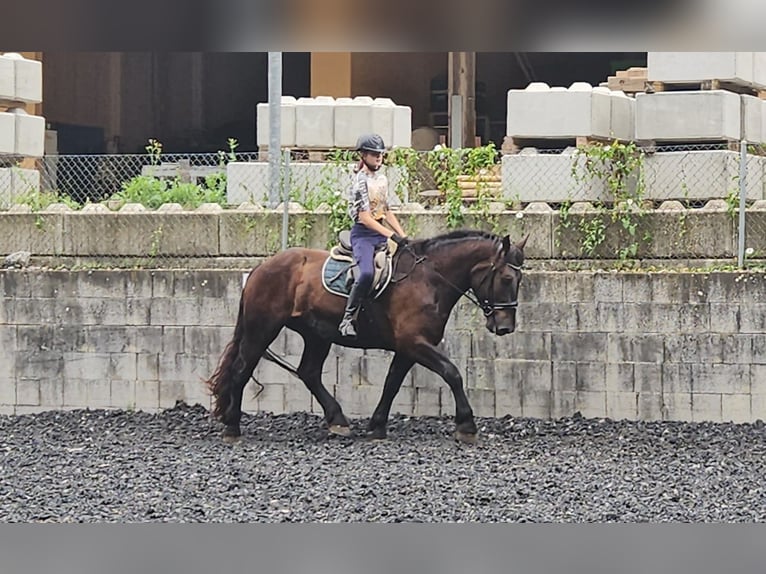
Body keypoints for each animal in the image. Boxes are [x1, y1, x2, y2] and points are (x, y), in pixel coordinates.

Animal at [204, 230, 528, 446]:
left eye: (520, 280)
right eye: (507, 279)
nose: (505, 327)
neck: (429, 279)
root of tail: (262, 266)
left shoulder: (408, 348)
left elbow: (392, 384)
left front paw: (376, 426)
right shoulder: (415, 343)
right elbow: (452, 373)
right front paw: (466, 424)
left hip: (317, 334)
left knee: (308, 372)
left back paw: (337, 420)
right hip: (262, 329)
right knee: (242, 370)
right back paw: (232, 427)